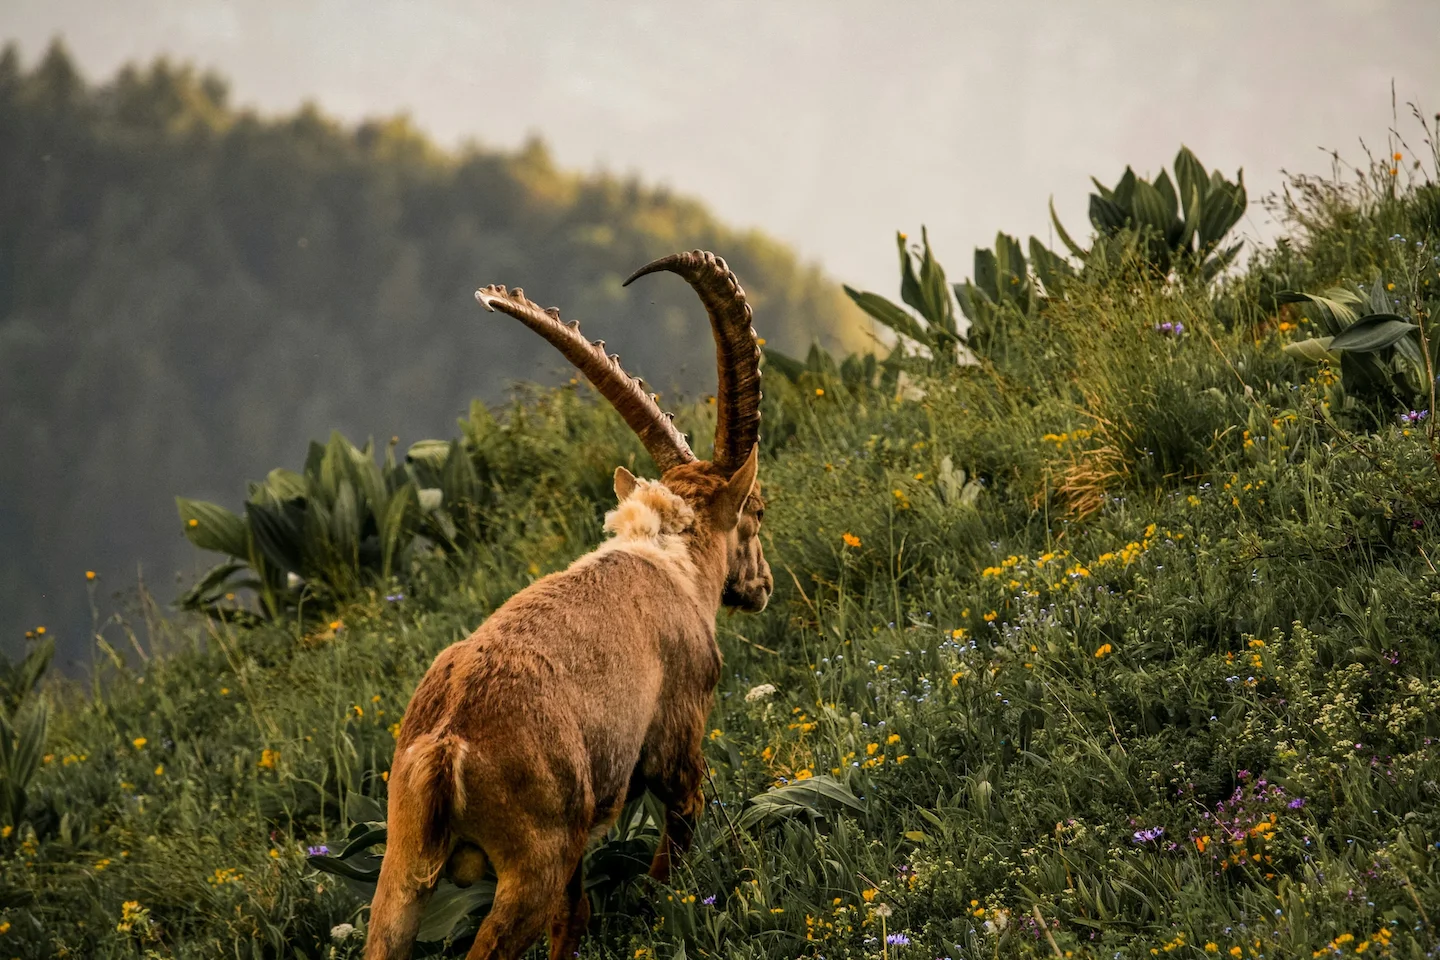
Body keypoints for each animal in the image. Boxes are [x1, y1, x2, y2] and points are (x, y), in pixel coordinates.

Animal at [364, 251, 773, 960]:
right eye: (756, 510)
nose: (763, 586)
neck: (669, 559)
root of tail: (445, 751)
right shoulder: (677, 740)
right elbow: (676, 838)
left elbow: (575, 914)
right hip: (533, 860)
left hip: (403, 867)